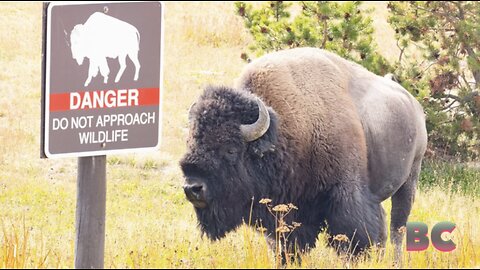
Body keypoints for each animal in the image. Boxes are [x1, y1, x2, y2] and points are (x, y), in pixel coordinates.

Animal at [181, 47, 428, 262]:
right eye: (191, 143)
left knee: (397, 228)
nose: (193, 188)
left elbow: (354, 237)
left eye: (231, 149)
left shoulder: (346, 196)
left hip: (409, 180)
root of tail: (414, 105)